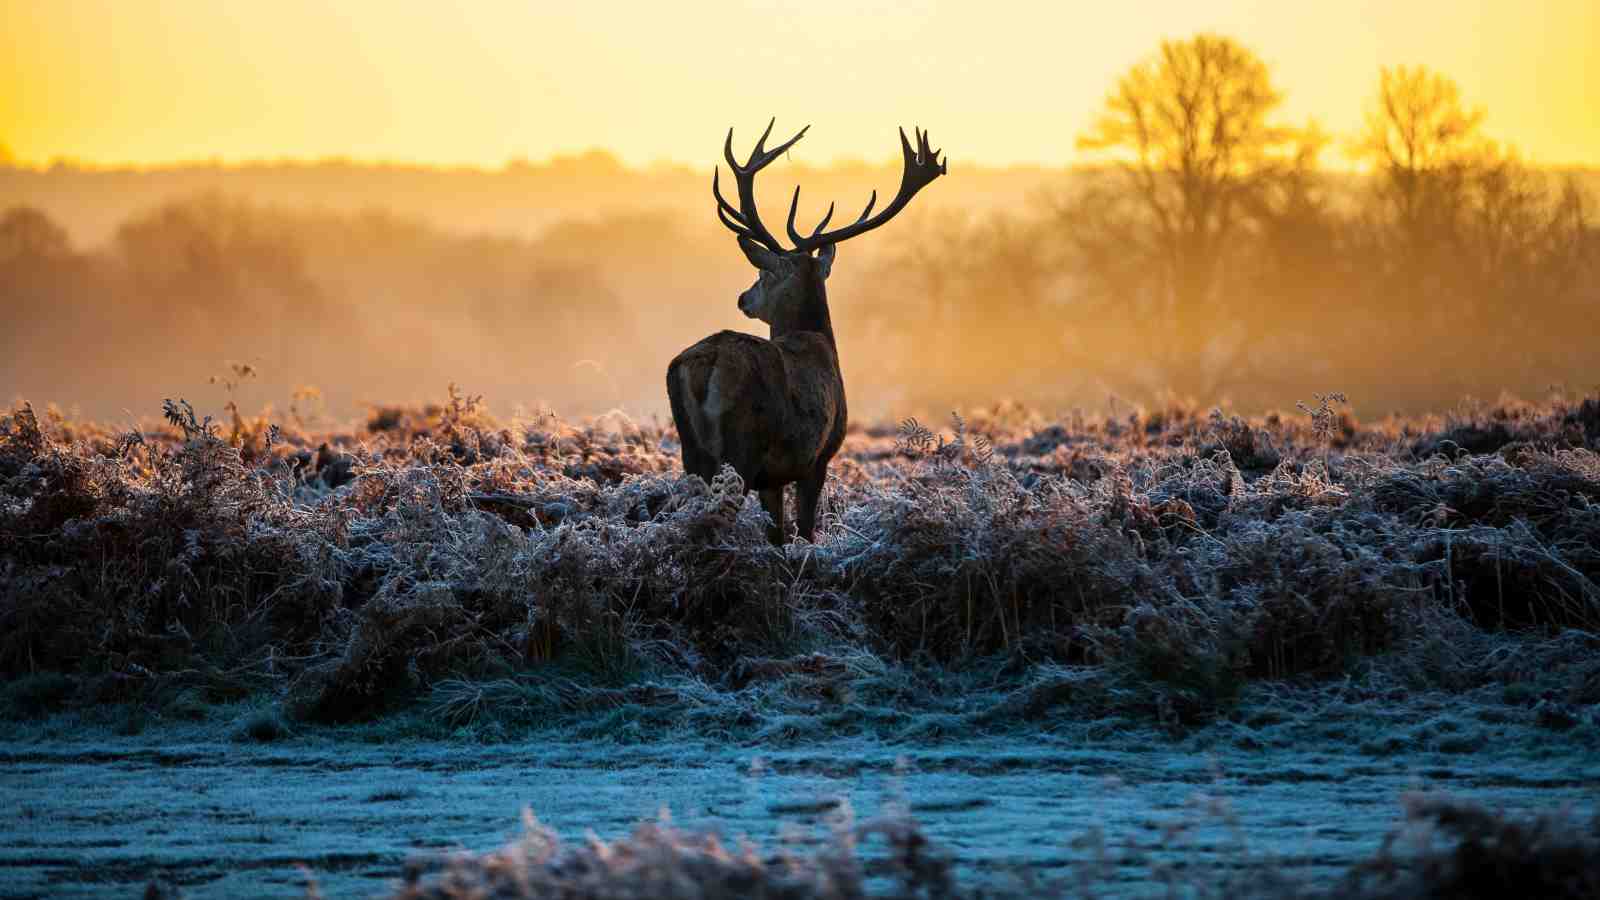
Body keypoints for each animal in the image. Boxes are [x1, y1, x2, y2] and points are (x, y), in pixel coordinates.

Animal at [667, 119, 947, 545]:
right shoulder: (818, 457)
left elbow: (778, 535)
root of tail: (706, 364)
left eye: (763, 274)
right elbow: (805, 531)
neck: (821, 342)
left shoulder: (774, 476)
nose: (743, 298)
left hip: (692, 453)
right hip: (741, 448)